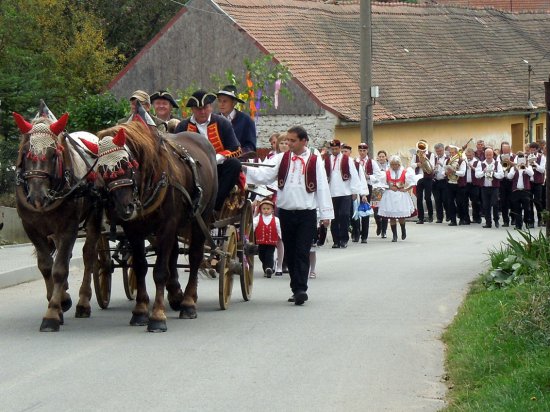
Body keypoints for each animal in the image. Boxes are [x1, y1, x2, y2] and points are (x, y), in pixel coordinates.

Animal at [13, 110, 102, 332]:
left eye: (54, 155)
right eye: (25, 153)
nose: (37, 197)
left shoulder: (68, 228)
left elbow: (60, 269)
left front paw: (52, 313)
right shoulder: (31, 228)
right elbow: (46, 266)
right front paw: (60, 301)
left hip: (94, 218)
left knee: (88, 256)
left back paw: (83, 302)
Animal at [95, 120, 218, 332]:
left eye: (126, 164)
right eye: (102, 170)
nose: (124, 208)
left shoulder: (167, 226)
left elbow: (160, 271)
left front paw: (157, 316)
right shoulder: (134, 231)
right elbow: (140, 266)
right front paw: (140, 311)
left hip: (202, 217)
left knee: (195, 257)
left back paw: (188, 303)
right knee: (174, 254)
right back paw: (177, 295)